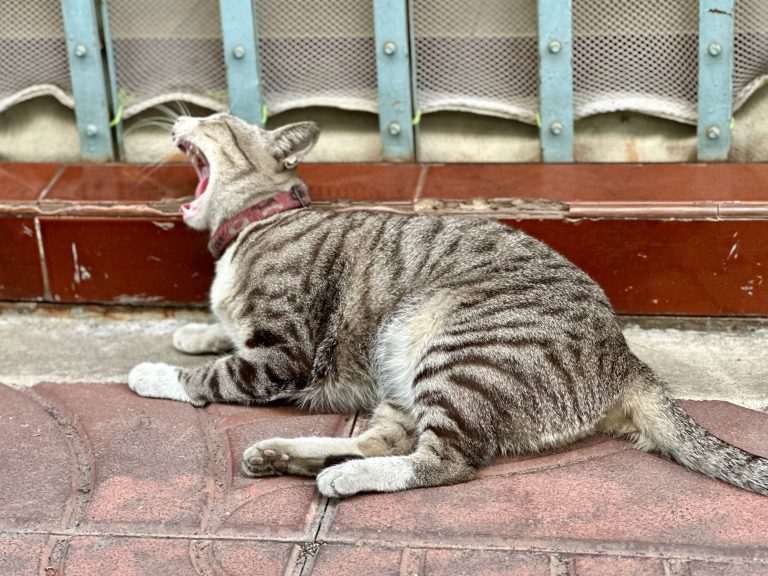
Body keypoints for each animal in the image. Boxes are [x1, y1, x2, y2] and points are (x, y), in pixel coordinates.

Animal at [129, 113, 764, 500]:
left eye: (213, 121)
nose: (181, 119)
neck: (255, 222)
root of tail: (626, 358)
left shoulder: (281, 356)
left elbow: (211, 376)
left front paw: (155, 371)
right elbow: (222, 334)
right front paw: (194, 331)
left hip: (453, 352)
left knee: (443, 462)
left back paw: (342, 477)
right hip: (399, 372)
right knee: (386, 439)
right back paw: (286, 456)